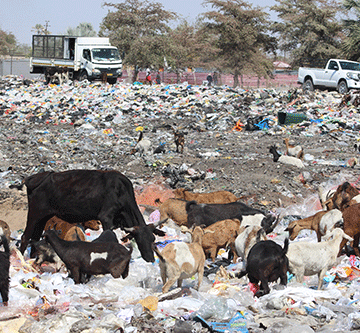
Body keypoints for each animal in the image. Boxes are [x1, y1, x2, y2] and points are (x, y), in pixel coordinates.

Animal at [11, 170, 165, 260]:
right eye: (140, 239)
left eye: (152, 239)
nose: (151, 259)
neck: (122, 191)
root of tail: (33, 178)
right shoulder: (106, 217)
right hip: (35, 213)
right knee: (25, 237)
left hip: (43, 217)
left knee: (35, 237)